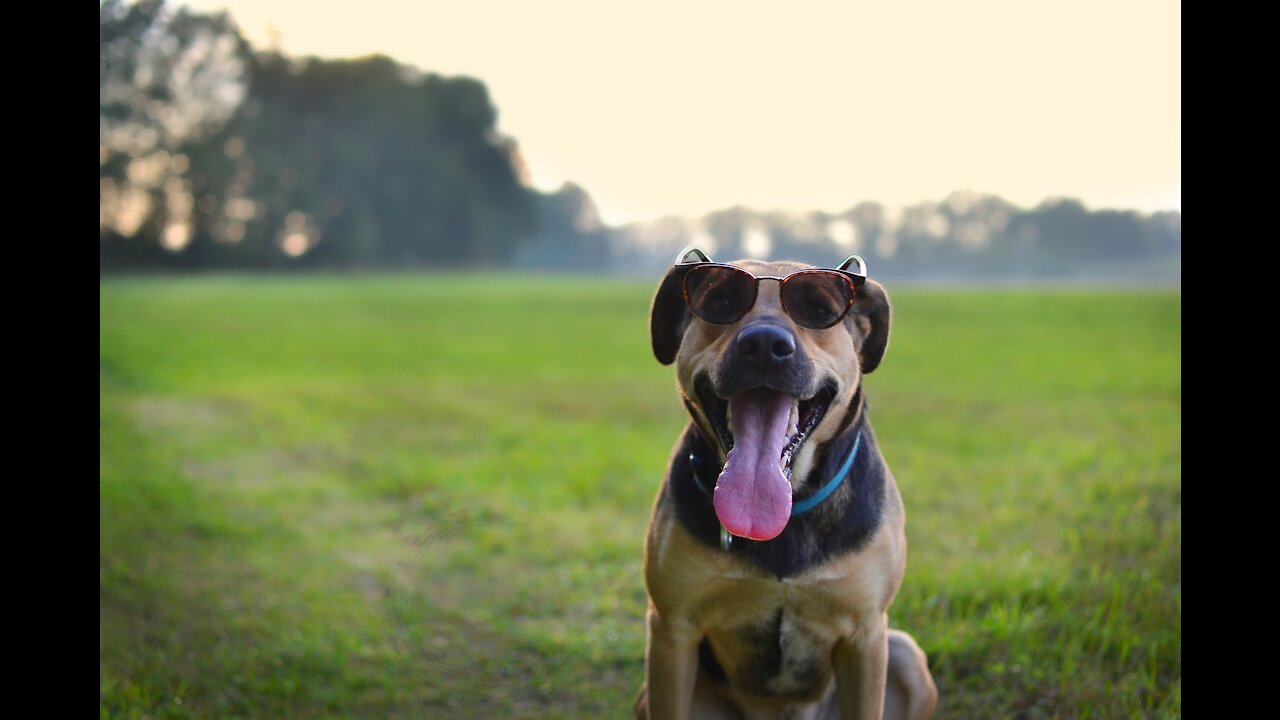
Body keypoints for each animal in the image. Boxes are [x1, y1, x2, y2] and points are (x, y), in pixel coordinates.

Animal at [634, 248, 936, 717]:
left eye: (819, 310)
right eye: (720, 302)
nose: (763, 345)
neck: (788, 510)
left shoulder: (867, 635)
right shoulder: (671, 632)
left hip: (904, 653)